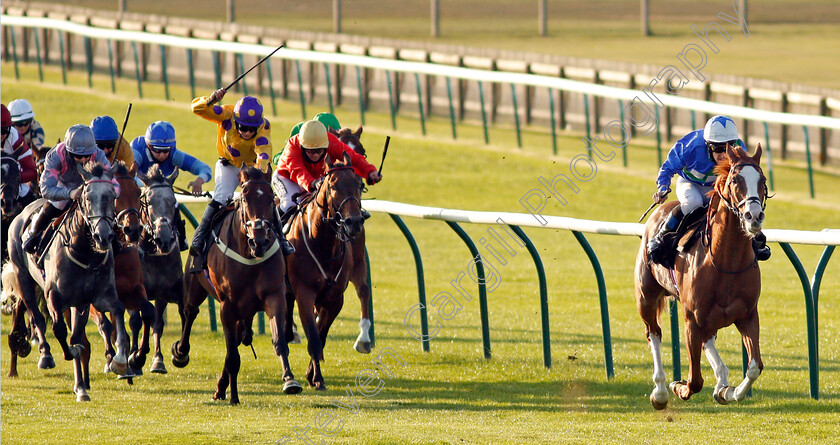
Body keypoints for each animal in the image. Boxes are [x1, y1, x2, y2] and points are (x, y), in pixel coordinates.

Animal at [2, 161, 129, 400]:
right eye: (87, 198)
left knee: (76, 332)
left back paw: (81, 388)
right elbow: (59, 329)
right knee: (36, 316)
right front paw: (64, 352)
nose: (103, 236)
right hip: (24, 278)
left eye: (112, 196)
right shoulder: (54, 296)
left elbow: (117, 311)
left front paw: (119, 359)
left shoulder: (97, 297)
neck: (85, 252)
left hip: (78, 303)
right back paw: (45, 354)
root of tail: (20, 214)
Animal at [172, 166, 300, 402]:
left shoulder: (274, 296)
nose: (260, 241)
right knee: (190, 312)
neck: (249, 255)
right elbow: (232, 355)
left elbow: (278, 340)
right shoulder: (227, 306)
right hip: (195, 286)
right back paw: (181, 353)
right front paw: (234, 397)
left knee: (239, 336)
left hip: (246, 309)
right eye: (245, 198)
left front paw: (290, 380)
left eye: (271, 198)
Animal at [286, 153, 364, 388]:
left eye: (359, 184)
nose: (354, 222)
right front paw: (318, 378)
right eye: (333, 185)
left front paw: (313, 374)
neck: (322, 244)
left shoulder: (335, 298)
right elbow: (313, 337)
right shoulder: (304, 293)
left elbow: (321, 335)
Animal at [636, 144, 768, 408]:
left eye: (763, 180)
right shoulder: (691, 319)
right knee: (653, 333)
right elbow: (694, 381)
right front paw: (678, 387)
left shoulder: (748, 314)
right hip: (646, 297)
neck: (725, 262)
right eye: (735, 180)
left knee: (709, 340)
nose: (754, 216)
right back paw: (660, 391)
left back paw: (721, 382)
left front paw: (729, 392)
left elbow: (754, 366)